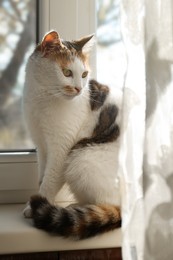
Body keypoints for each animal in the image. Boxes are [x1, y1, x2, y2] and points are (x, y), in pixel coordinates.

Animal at [23, 29, 122, 239]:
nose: (78, 88)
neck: (41, 98)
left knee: (112, 204)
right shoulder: (41, 146)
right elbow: (42, 176)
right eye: (67, 72)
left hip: (81, 158)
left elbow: (49, 181)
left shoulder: (61, 148)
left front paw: (35, 206)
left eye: (84, 74)